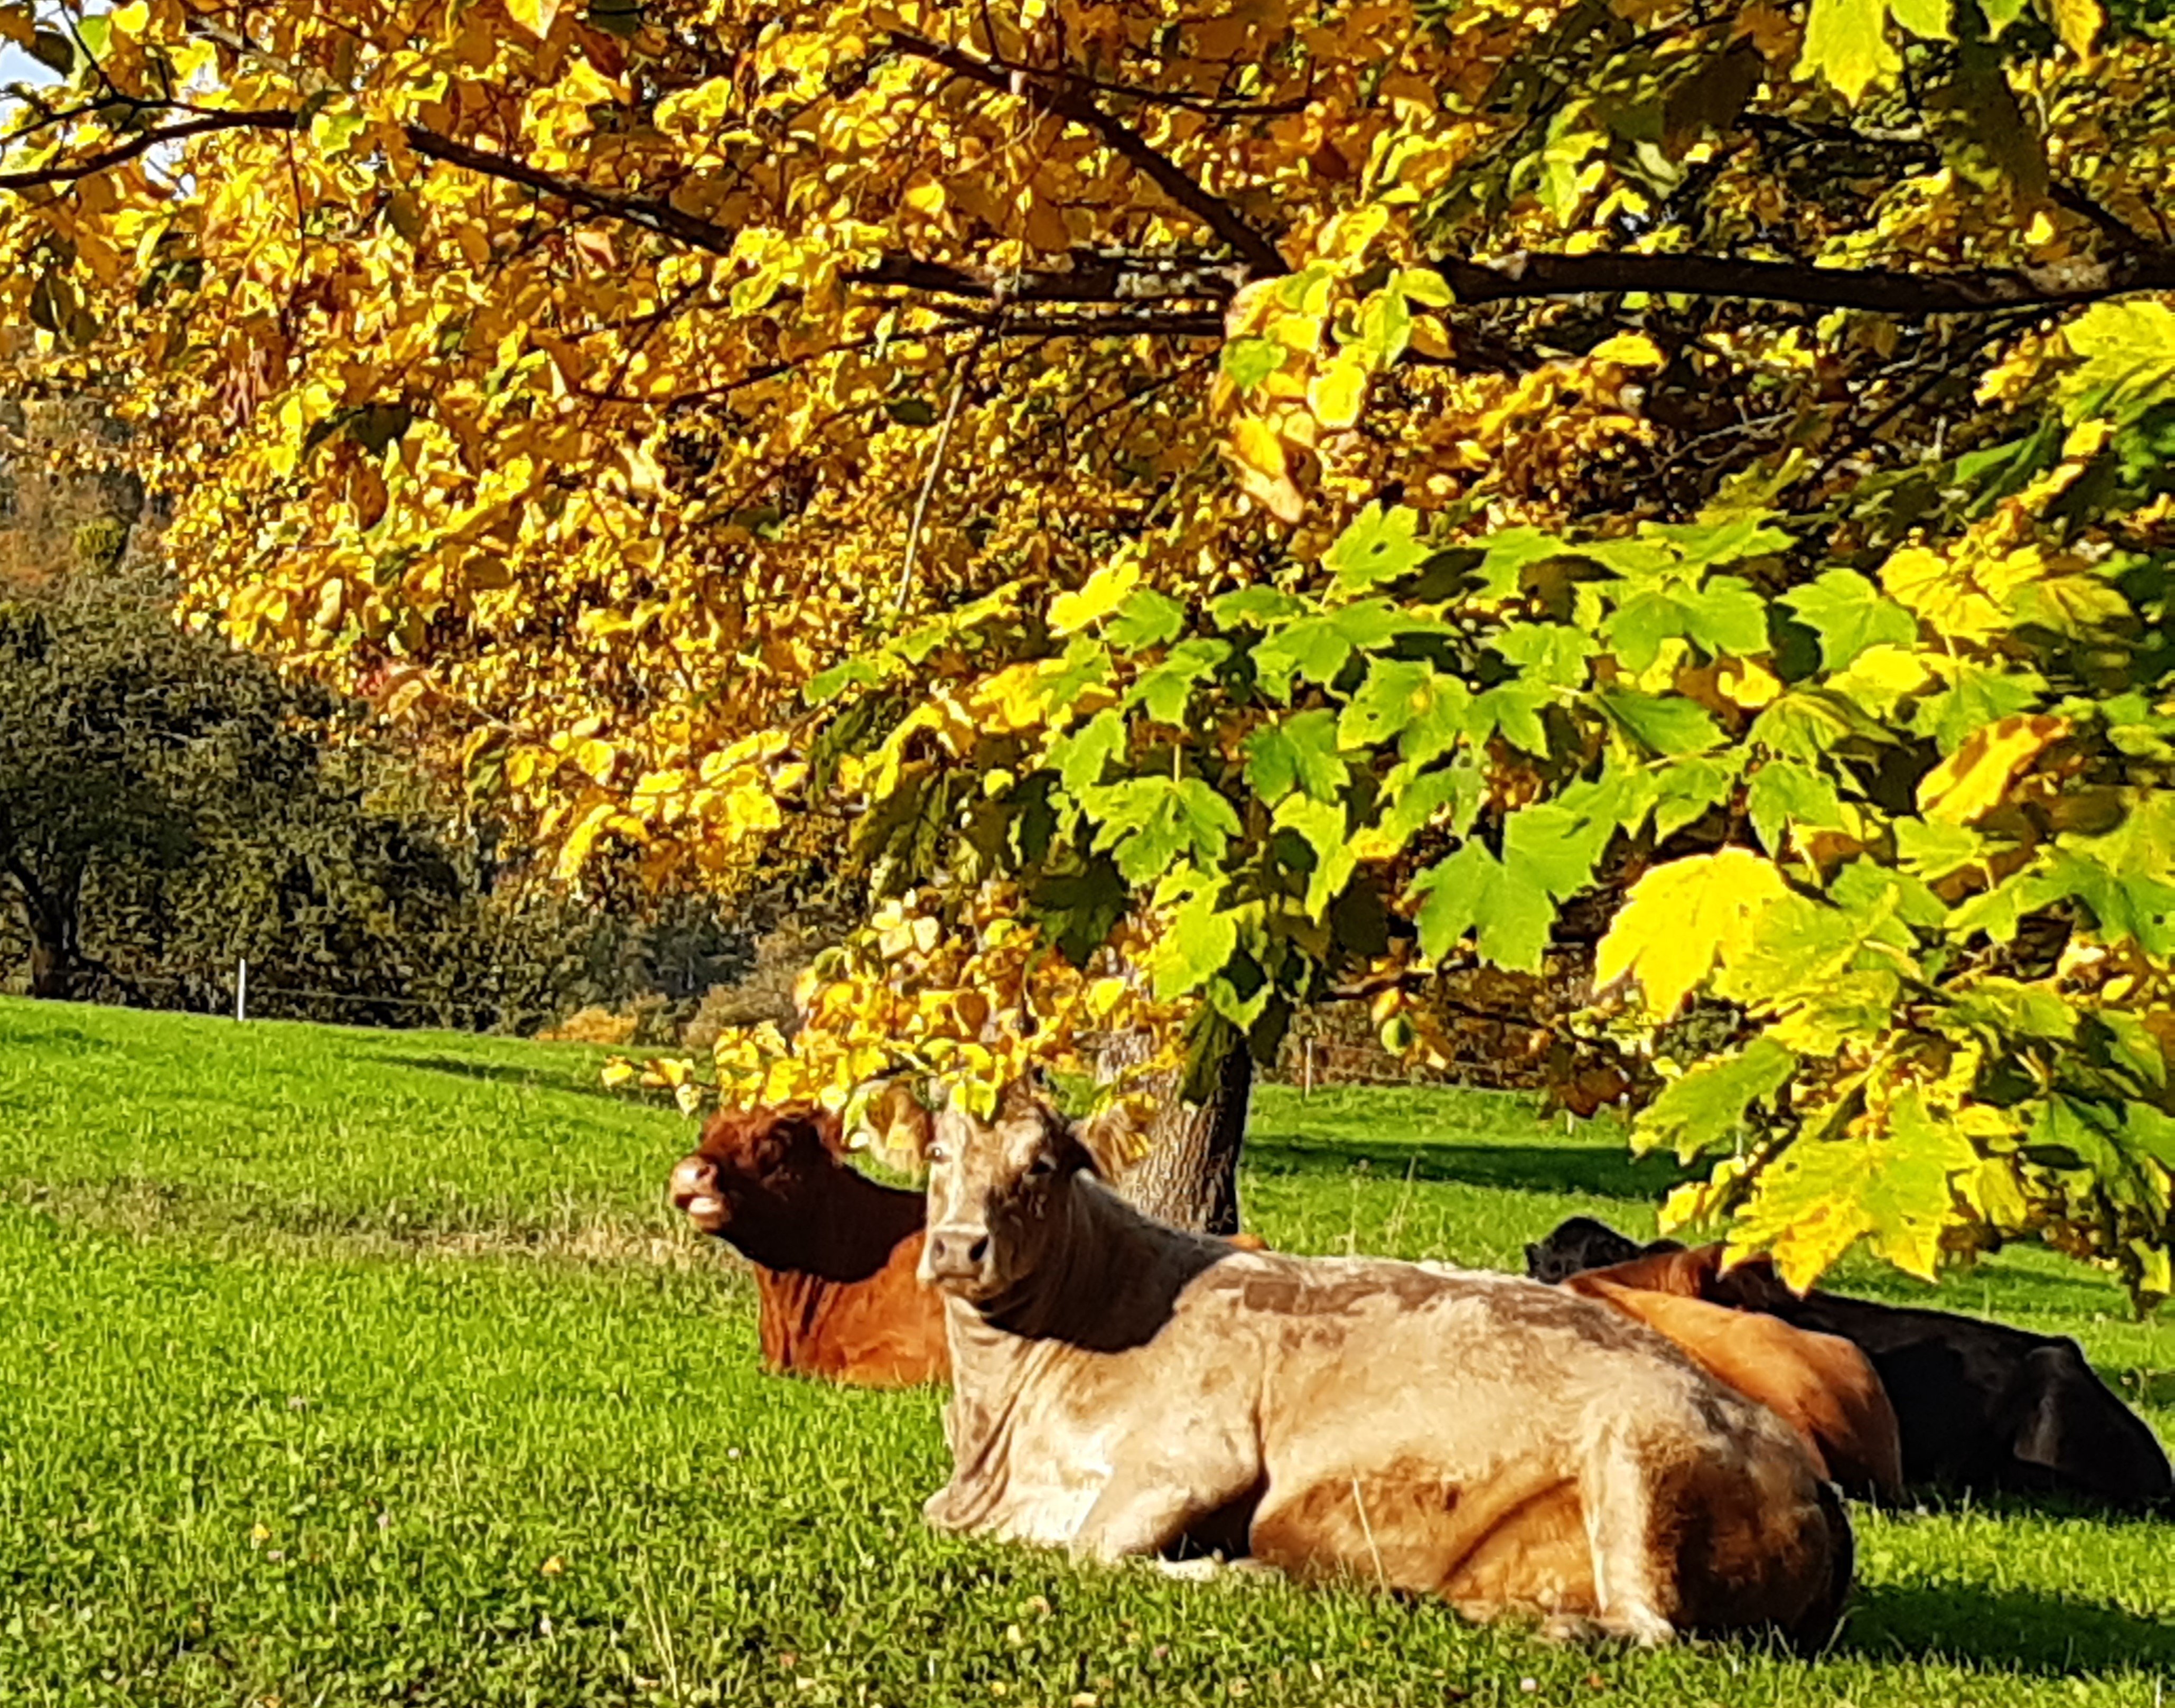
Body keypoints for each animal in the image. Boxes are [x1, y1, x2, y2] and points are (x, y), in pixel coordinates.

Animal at [913, 1088, 1853, 1645]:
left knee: (1650, 1625)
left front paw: (1235, 1571)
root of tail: (1803, 1466)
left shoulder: (1197, 1452)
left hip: (1640, 1456)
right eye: (938, 1155)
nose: (959, 1245)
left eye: (1041, 1165)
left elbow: (1090, 1550)